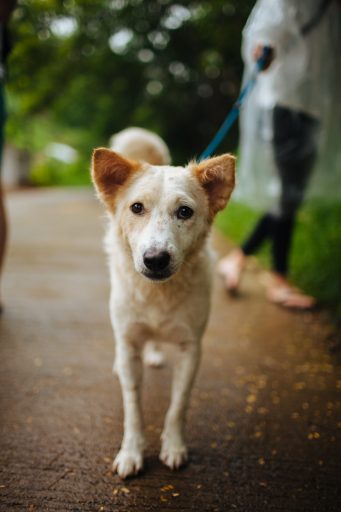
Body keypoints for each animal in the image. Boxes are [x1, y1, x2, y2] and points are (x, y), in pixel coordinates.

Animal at [90, 129, 234, 480]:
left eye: (185, 212)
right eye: (136, 207)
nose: (155, 259)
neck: (157, 294)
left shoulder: (191, 349)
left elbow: (177, 407)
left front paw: (174, 447)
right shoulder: (129, 344)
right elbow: (133, 409)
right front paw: (131, 453)